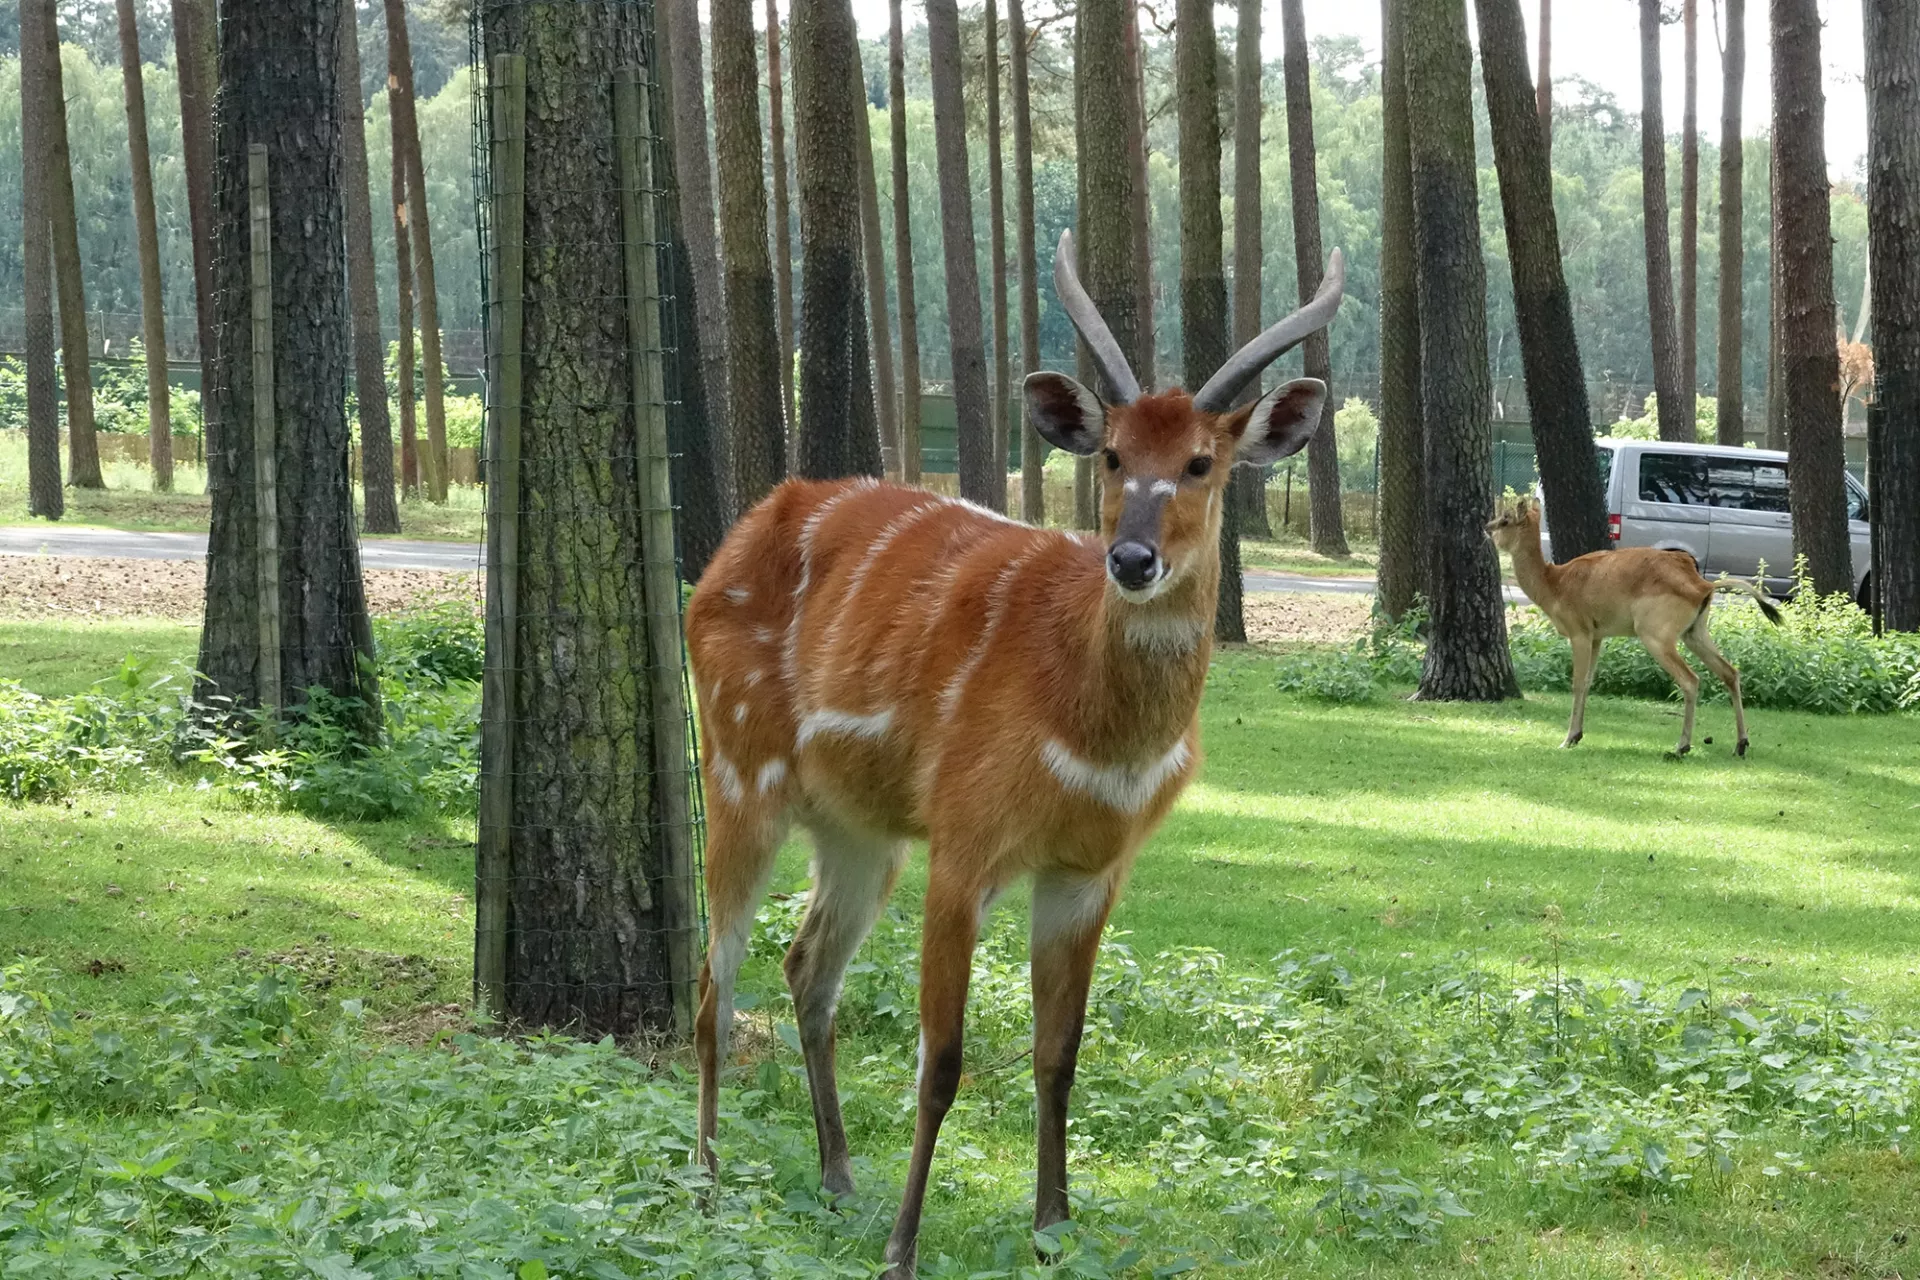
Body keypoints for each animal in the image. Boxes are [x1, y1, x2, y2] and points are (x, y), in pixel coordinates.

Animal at [691, 227, 1351, 1274]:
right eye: (1114, 454)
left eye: (1201, 462)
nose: (1132, 559)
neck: (1091, 734)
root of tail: (722, 553)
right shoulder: (965, 841)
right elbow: (943, 1058)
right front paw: (904, 1249)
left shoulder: (1090, 869)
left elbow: (1060, 1052)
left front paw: (1052, 1229)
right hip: (739, 768)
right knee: (716, 978)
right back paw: (711, 1183)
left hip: (860, 829)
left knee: (806, 965)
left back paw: (837, 1180)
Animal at [1482, 498, 1781, 759]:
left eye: (1506, 518)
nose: (1487, 527)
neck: (1553, 583)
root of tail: (1704, 585)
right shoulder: (1597, 636)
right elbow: (1588, 682)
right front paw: (1577, 735)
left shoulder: (1579, 632)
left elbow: (1577, 682)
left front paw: (1567, 739)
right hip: (1694, 633)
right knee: (1730, 672)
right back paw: (1740, 744)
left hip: (1656, 635)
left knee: (1691, 680)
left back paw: (1681, 747)